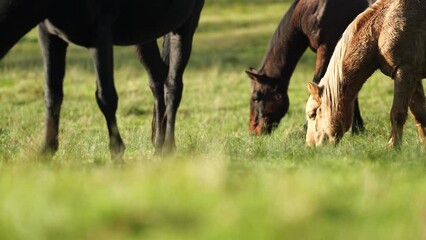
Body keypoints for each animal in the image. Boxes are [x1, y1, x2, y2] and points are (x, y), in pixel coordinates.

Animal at [0, 0, 206, 159]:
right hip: (145, 33)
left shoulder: (99, 35)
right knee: (158, 79)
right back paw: (158, 148)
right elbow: (52, 92)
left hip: (184, 27)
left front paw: (116, 153)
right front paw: (46, 151)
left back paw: (169, 149)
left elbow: (106, 97)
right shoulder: (49, 36)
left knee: (173, 86)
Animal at [245, 0, 374, 135]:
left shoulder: (326, 49)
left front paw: (306, 128)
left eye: (256, 97)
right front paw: (357, 128)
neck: (308, 12)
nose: (253, 132)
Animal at [304, 0, 426, 148]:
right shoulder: (414, 76)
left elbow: (397, 114)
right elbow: (420, 114)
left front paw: (392, 147)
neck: (383, 25)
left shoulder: (404, 71)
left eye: (312, 114)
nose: (310, 147)